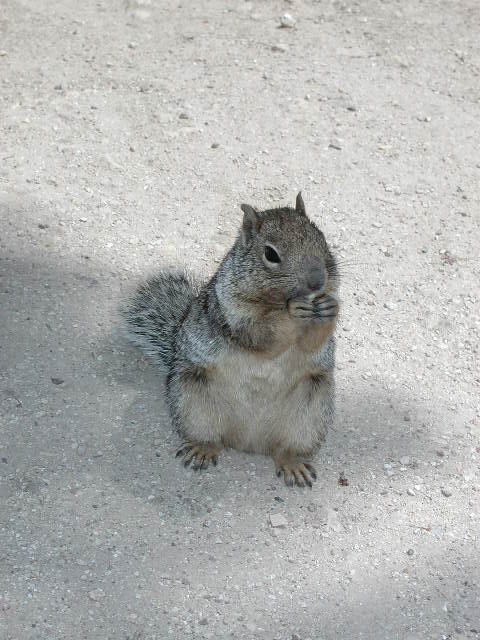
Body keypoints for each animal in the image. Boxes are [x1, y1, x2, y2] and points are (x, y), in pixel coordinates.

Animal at [122, 192, 340, 488]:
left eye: (322, 238)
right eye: (270, 254)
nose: (317, 281)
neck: (276, 300)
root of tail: (250, 442)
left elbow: (312, 344)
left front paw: (330, 308)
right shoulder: (233, 313)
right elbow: (262, 335)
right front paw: (290, 312)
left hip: (311, 412)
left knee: (287, 448)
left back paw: (293, 463)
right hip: (193, 398)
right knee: (209, 435)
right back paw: (202, 449)